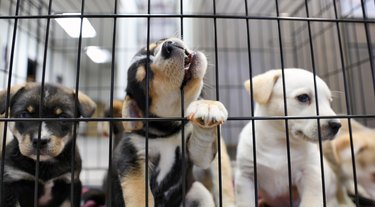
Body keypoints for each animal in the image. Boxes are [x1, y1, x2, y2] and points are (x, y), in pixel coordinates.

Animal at [111, 37, 229, 207]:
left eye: (155, 46)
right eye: (147, 78)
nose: (168, 45)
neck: (168, 131)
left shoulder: (197, 155)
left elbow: (202, 146)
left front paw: (207, 106)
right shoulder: (132, 156)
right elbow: (139, 194)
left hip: (198, 191)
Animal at [235, 69, 352, 207]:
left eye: (329, 101)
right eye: (303, 97)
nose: (336, 125)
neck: (279, 143)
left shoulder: (310, 173)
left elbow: (310, 201)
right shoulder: (246, 176)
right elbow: (245, 201)